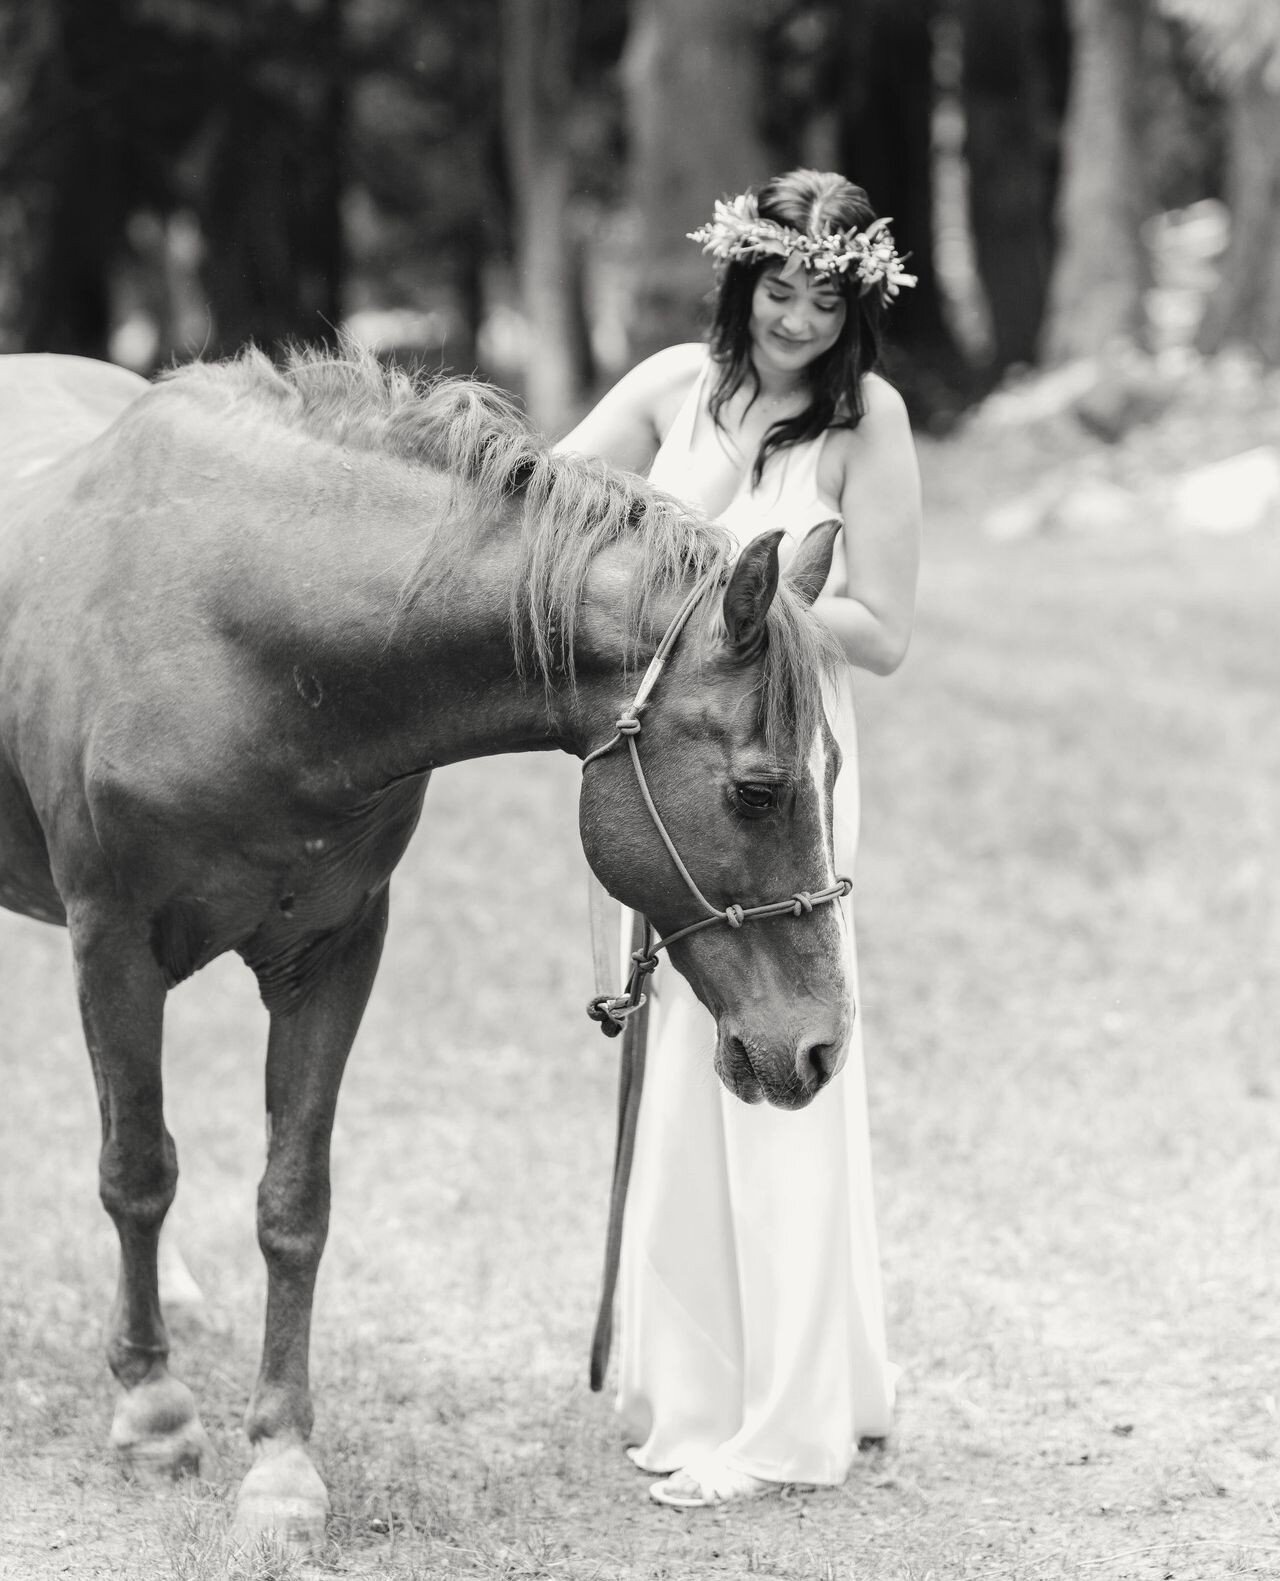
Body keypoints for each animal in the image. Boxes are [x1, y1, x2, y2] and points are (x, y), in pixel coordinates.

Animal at [2, 343, 859, 1543]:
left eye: (832, 770)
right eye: (756, 789)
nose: (818, 1047)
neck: (244, 639)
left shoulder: (334, 953)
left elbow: (292, 1205)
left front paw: (282, 1465)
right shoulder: (111, 945)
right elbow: (138, 1171)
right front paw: (154, 1410)